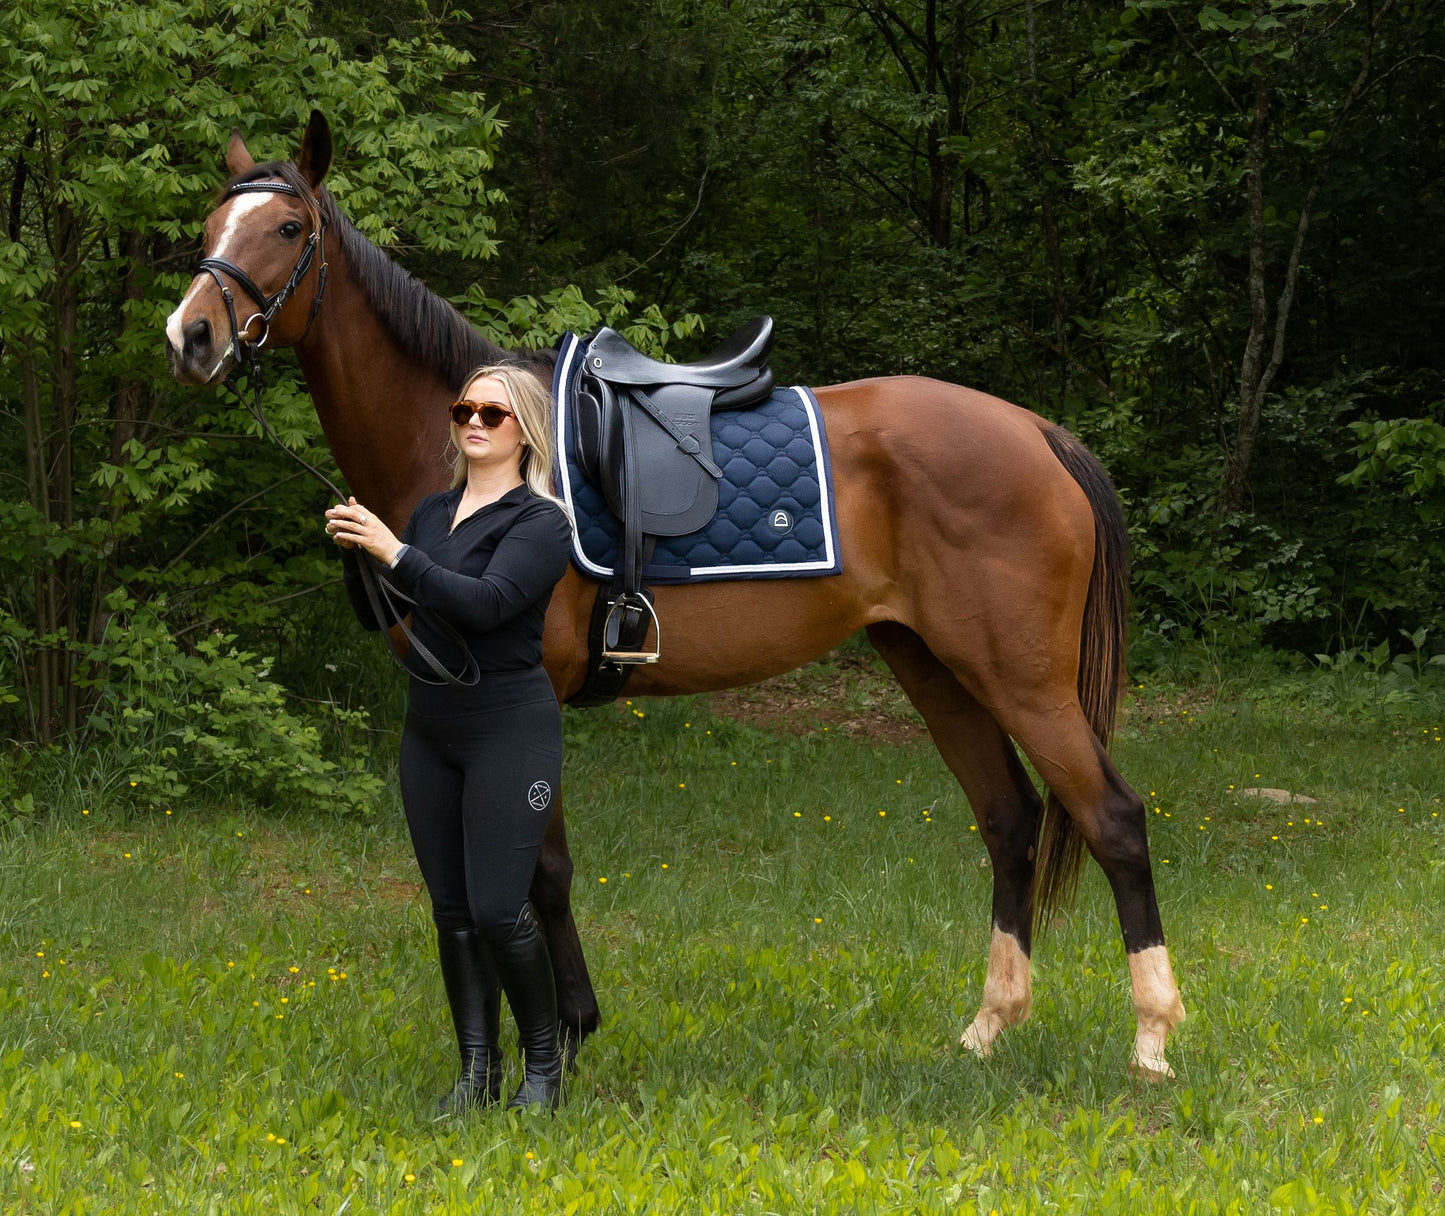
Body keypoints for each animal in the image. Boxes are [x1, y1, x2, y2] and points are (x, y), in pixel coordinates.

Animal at [166, 111, 1184, 1080]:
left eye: (288, 227)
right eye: (210, 225)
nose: (191, 337)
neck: (464, 451)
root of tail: (1039, 432)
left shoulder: (525, 695)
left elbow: (539, 871)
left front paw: (566, 1039)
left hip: (1023, 678)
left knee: (1113, 821)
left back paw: (1150, 1041)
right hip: (935, 667)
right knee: (1009, 821)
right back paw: (987, 1028)